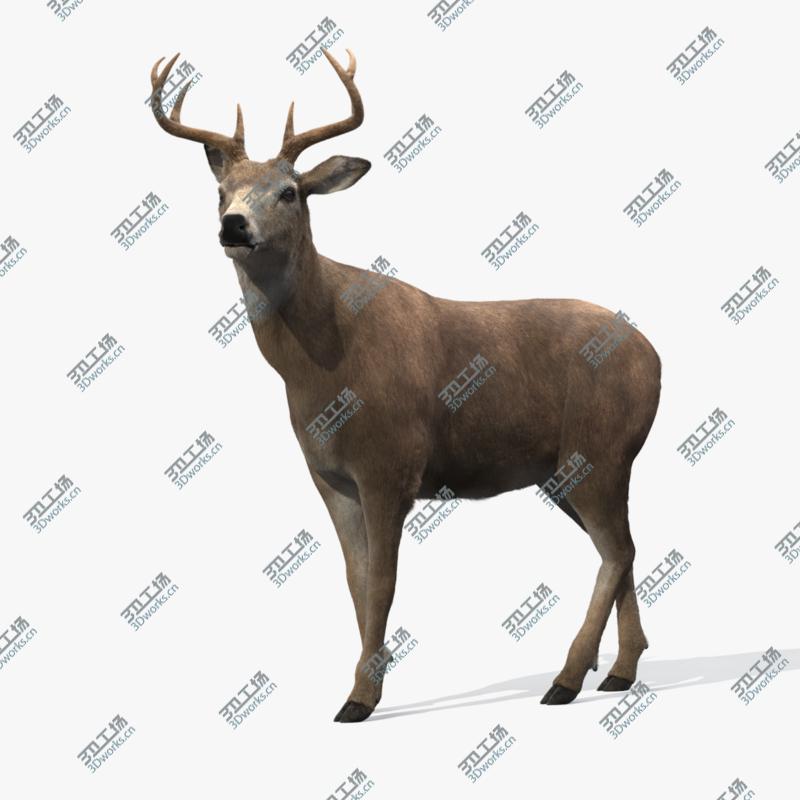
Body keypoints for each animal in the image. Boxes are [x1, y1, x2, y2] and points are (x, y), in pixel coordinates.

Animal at [149, 48, 661, 722]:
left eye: (289, 191)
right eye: (219, 192)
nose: (234, 226)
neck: (324, 364)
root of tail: (656, 356)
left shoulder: (390, 463)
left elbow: (384, 582)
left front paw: (360, 699)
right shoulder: (329, 476)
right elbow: (355, 580)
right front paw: (361, 684)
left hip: (599, 448)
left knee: (618, 550)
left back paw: (568, 678)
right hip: (564, 472)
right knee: (621, 549)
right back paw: (619, 672)